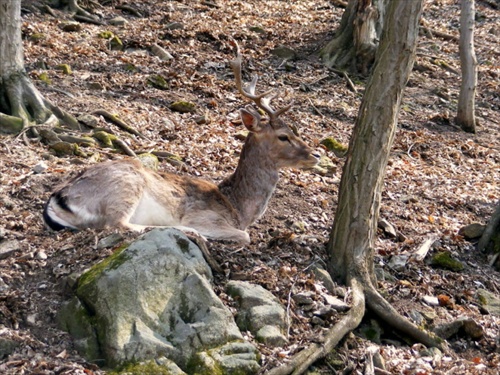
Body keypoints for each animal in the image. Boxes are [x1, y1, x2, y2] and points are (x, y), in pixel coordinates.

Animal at [43, 47, 320, 245]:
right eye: (283, 136)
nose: (316, 154)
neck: (238, 210)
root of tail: (58, 198)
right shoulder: (206, 216)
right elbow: (245, 236)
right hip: (124, 186)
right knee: (119, 224)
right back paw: (188, 231)